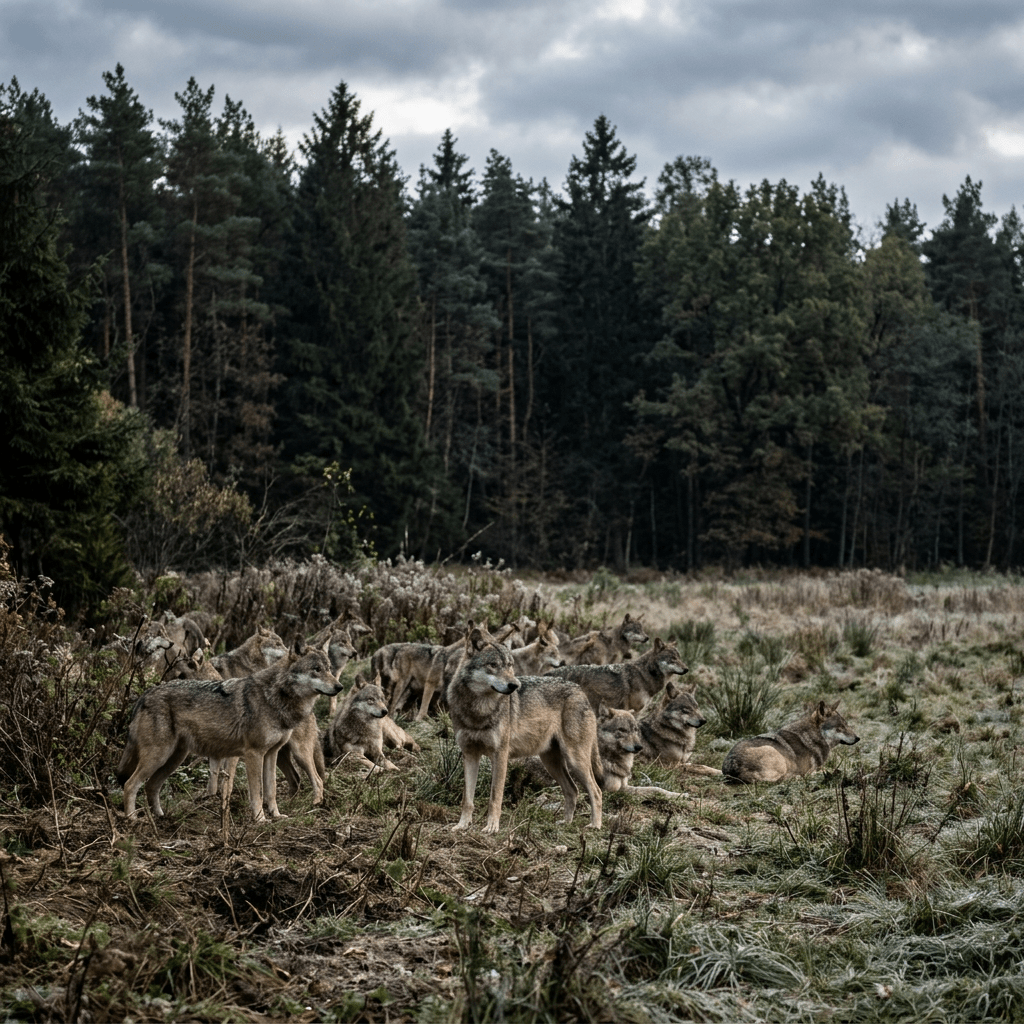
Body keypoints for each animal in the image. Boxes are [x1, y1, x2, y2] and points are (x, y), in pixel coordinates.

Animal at [116, 645, 343, 821]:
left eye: (328, 669)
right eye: (316, 670)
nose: (339, 687)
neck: (275, 698)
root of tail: (145, 694)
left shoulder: (270, 754)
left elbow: (270, 791)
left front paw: (276, 816)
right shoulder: (253, 754)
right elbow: (256, 792)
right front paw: (260, 819)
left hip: (174, 759)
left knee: (150, 786)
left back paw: (161, 817)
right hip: (159, 757)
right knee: (130, 785)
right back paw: (133, 819)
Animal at [448, 629, 603, 834]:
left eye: (510, 666)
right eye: (493, 665)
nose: (514, 685)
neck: (478, 710)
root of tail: (580, 691)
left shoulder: (500, 755)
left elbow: (495, 797)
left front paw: (492, 827)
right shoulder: (470, 755)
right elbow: (467, 799)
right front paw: (462, 825)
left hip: (575, 760)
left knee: (596, 791)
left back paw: (595, 825)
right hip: (551, 762)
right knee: (573, 790)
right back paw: (566, 823)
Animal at [547, 637, 688, 713]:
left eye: (680, 658)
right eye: (672, 659)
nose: (687, 669)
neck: (644, 675)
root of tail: (547, 673)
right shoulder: (631, 710)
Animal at [721, 701, 860, 784]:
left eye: (847, 724)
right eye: (840, 727)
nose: (858, 738)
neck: (813, 737)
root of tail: (732, 768)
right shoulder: (807, 769)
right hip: (776, 755)